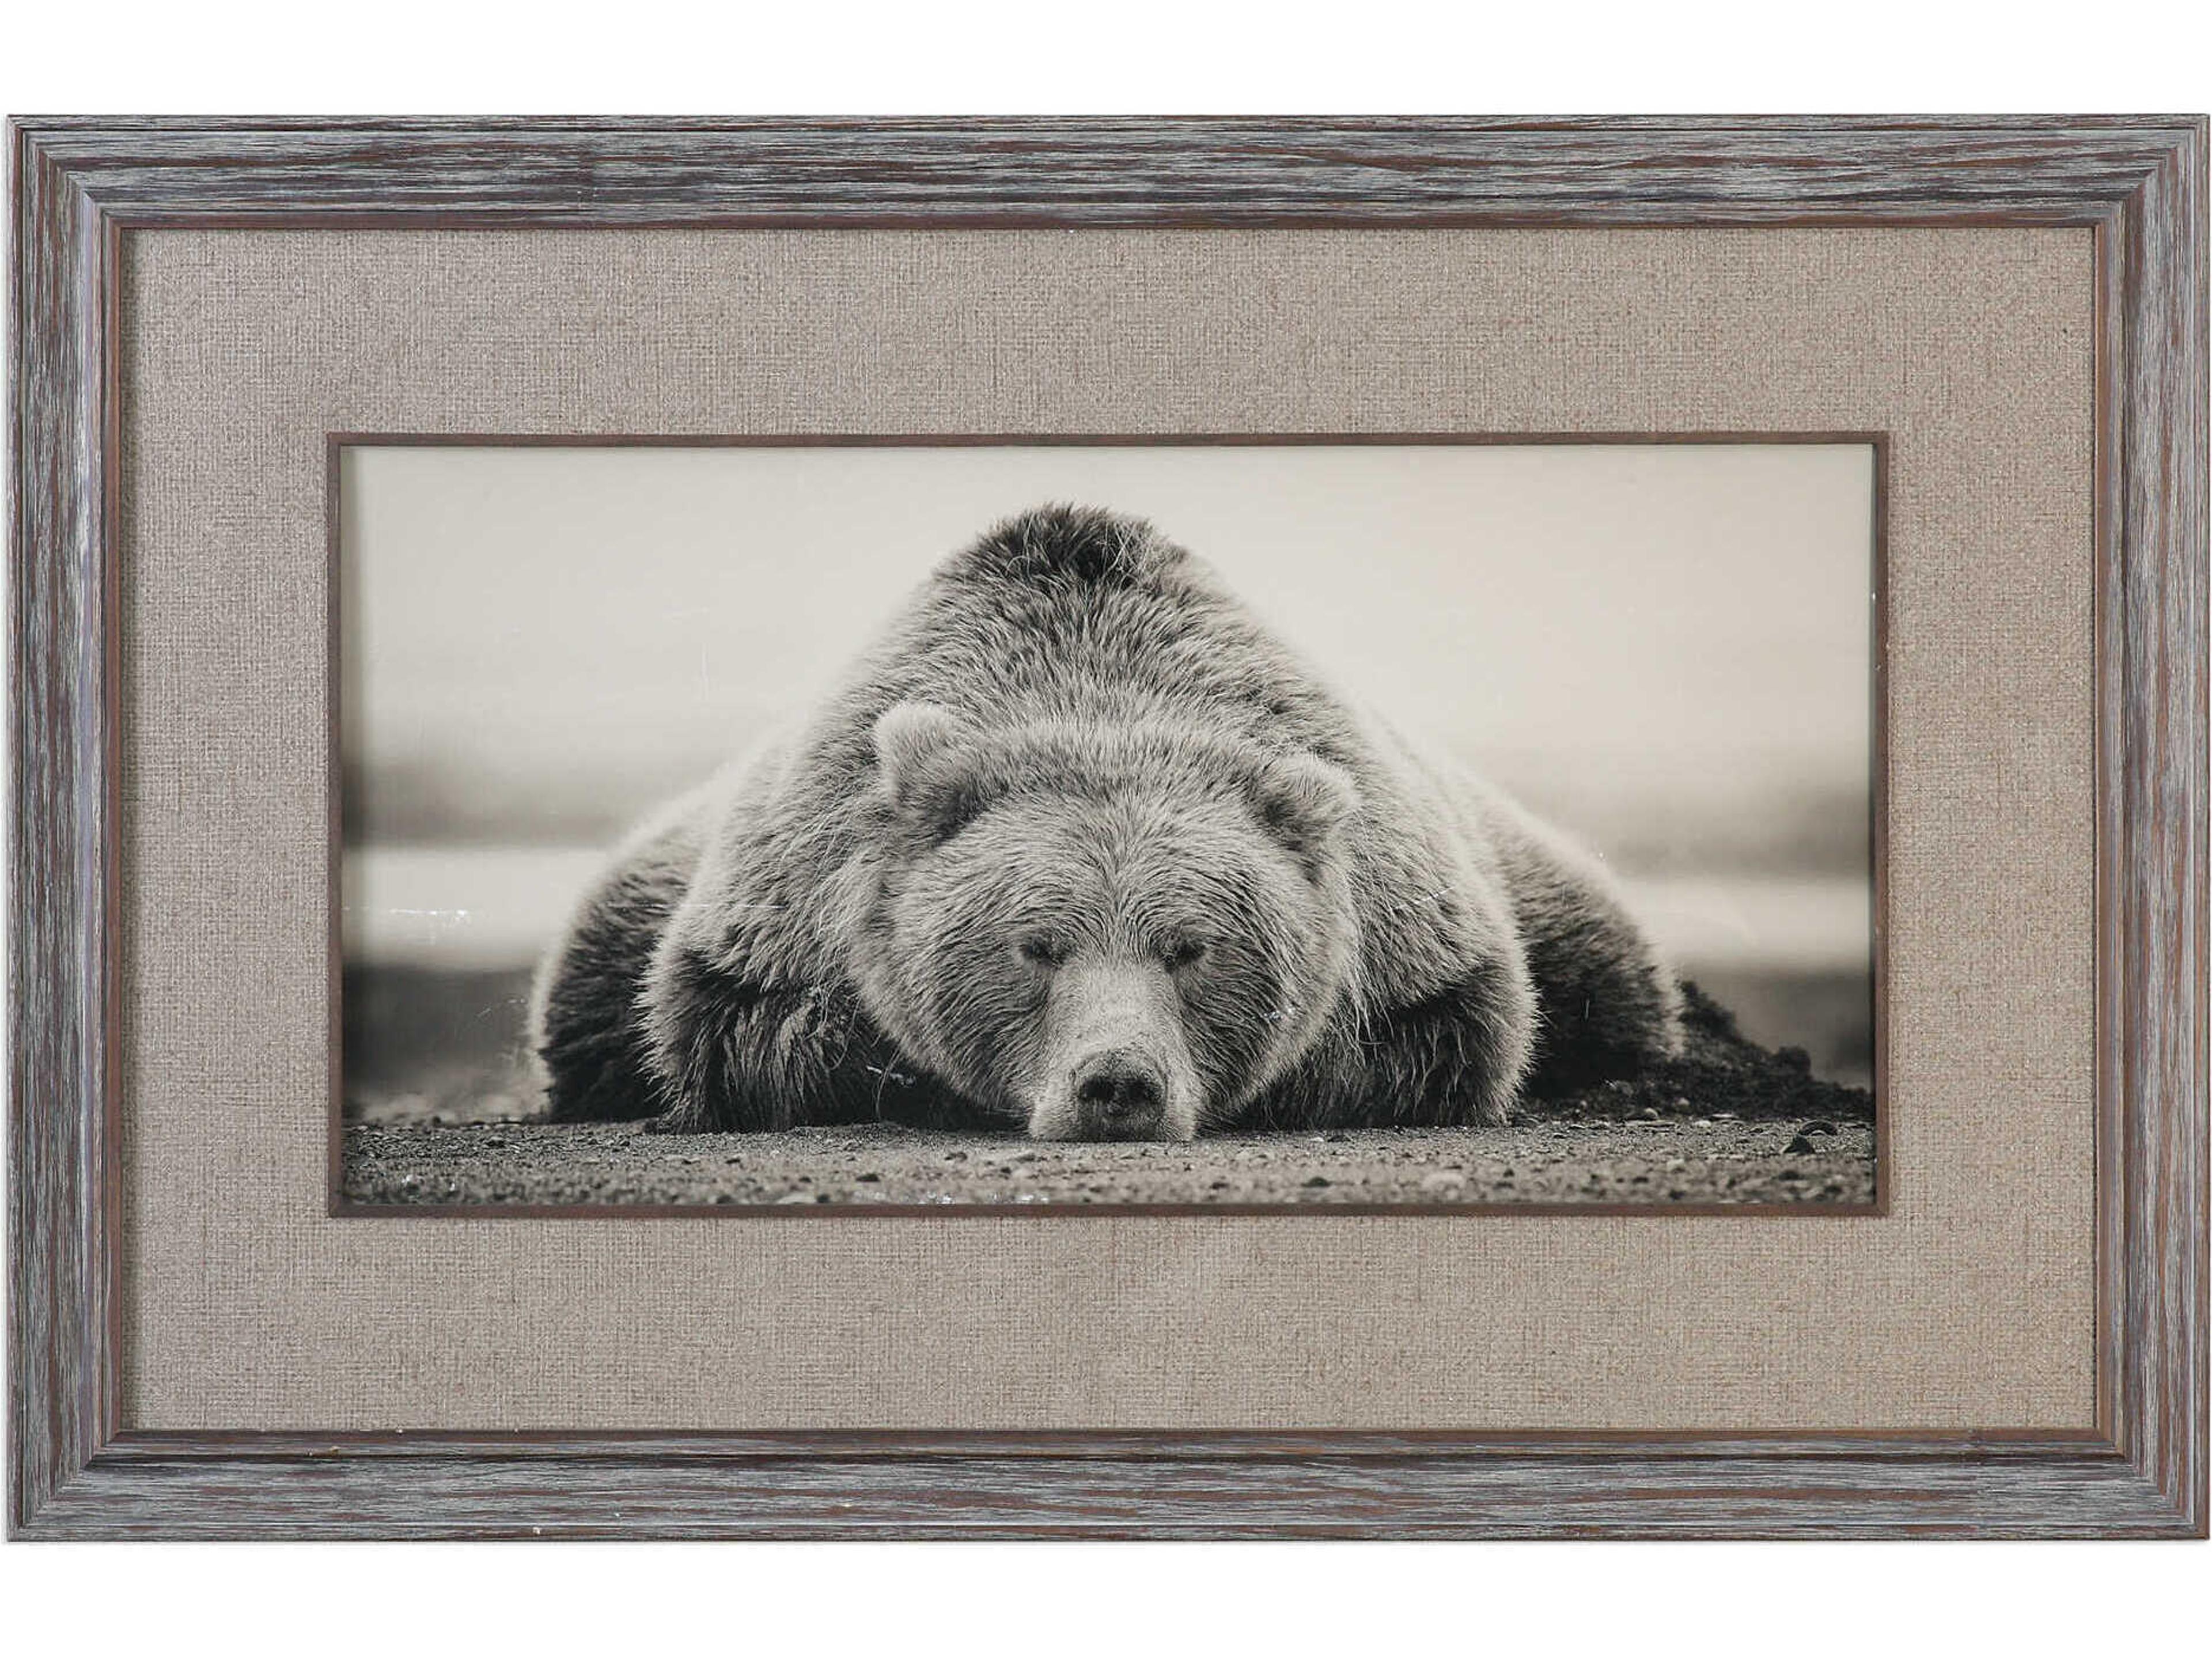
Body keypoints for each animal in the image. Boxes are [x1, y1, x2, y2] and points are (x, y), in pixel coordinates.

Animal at [528, 503, 1681, 1140]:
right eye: (1035, 945)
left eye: (1192, 947)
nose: (1116, 1085)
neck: (1098, 691)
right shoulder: (781, 911)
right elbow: (748, 1034)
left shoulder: (1417, 931)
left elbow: (1444, 1037)